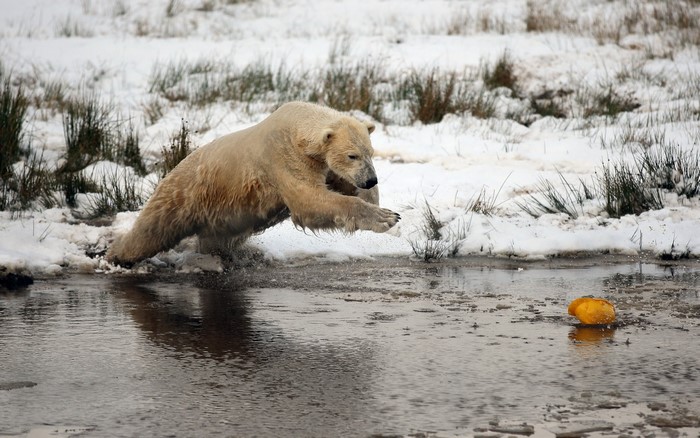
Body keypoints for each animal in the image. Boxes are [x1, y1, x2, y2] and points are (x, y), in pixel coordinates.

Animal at [106, 101, 400, 265]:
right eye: (352, 155)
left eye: (370, 152)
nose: (370, 179)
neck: (297, 127)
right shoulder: (283, 158)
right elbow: (309, 201)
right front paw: (387, 218)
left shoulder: (321, 164)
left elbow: (340, 185)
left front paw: (379, 205)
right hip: (183, 196)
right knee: (152, 231)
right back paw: (115, 256)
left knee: (215, 239)